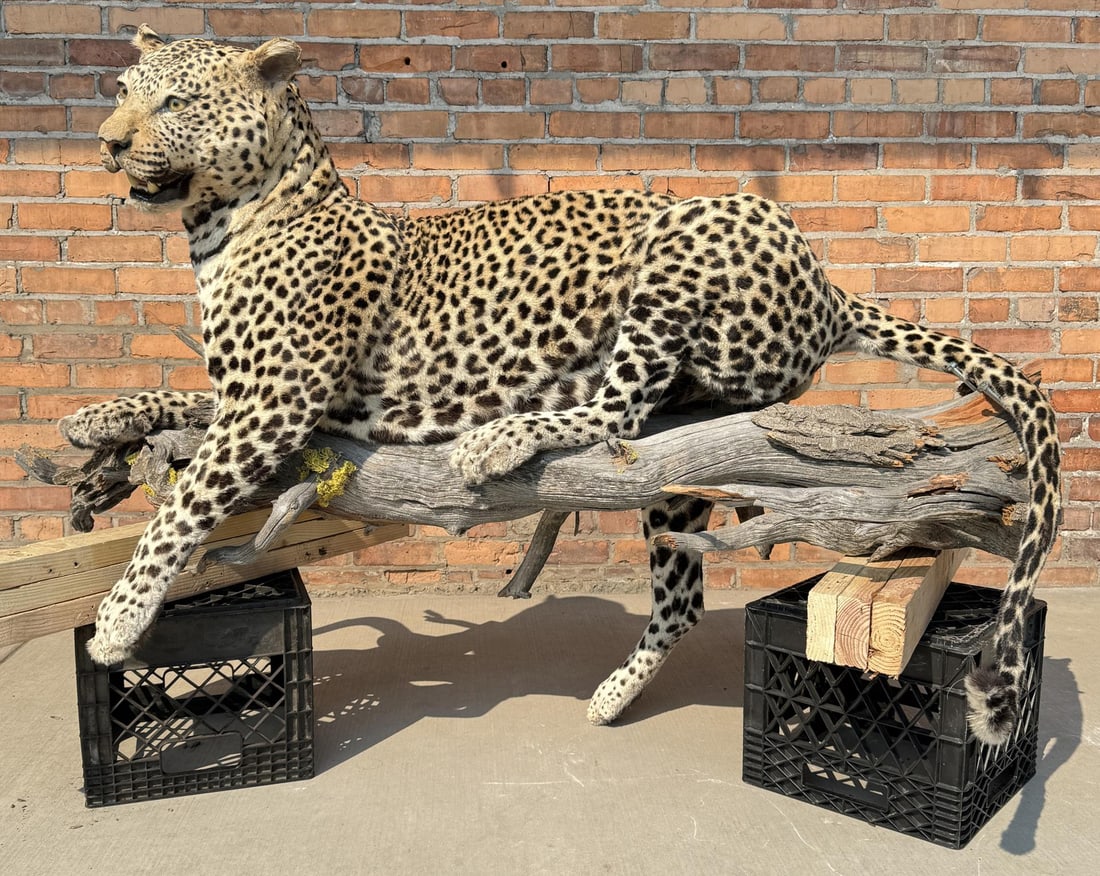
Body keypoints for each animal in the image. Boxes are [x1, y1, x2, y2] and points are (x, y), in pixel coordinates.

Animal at [60, 27, 1061, 746]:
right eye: (121, 94)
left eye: (174, 101)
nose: (105, 144)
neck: (222, 225)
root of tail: (829, 282)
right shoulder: (250, 393)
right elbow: (176, 404)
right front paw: (99, 414)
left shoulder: (279, 397)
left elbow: (179, 506)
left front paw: (118, 620)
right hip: (678, 473)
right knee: (679, 584)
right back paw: (613, 695)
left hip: (689, 234)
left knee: (619, 401)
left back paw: (497, 438)